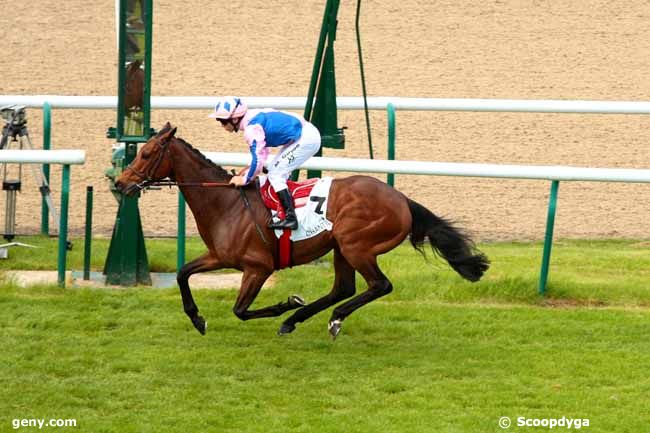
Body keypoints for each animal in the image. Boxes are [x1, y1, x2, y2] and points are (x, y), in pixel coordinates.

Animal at [114, 121, 488, 338]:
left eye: (146, 153)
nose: (120, 183)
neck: (227, 203)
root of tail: (402, 200)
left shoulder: (258, 267)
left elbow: (240, 310)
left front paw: (286, 302)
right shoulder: (219, 256)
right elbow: (182, 274)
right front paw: (197, 319)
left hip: (356, 245)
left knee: (379, 285)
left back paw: (329, 319)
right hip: (341, 248)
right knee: (343, 288)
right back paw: (298, 319)